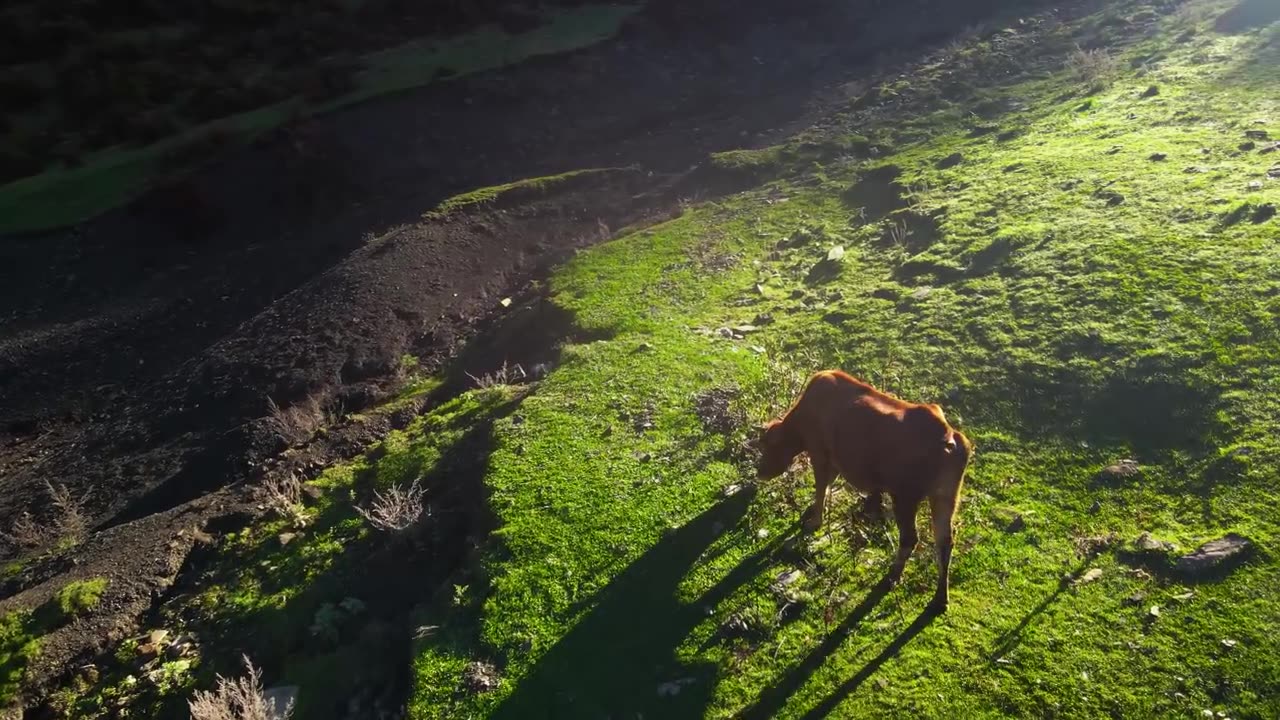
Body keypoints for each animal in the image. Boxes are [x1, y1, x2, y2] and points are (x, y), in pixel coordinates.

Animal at [757, 368, 967, 609]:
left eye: (768, 445)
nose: (759, 472)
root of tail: (948, 436)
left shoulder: (820, 453)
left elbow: (821, 487)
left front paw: (814, 520)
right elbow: (830, 487)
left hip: (905, 497)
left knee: (910, 538)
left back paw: (892, 576)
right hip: (945, 498)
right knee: (945, 542)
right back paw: (940, 598)